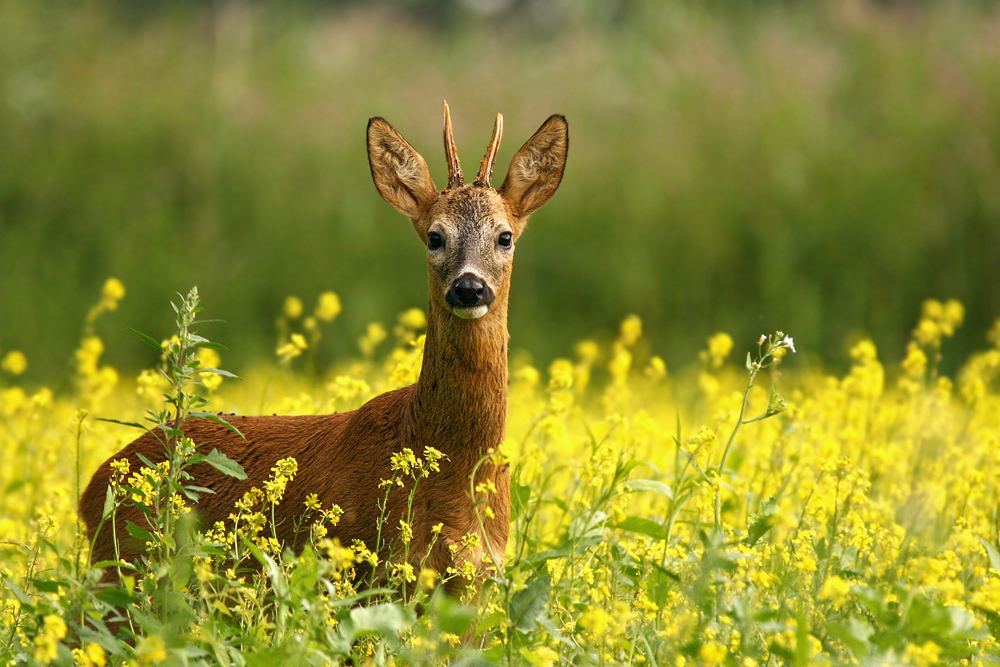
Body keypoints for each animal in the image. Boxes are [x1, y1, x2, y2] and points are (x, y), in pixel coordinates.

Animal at [82, 102, 568, 596]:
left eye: (505, 236)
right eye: (435, 237)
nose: (469, 287)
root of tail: (93, 488)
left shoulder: (478, 582)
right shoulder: (365, 567)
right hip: (122, 576)